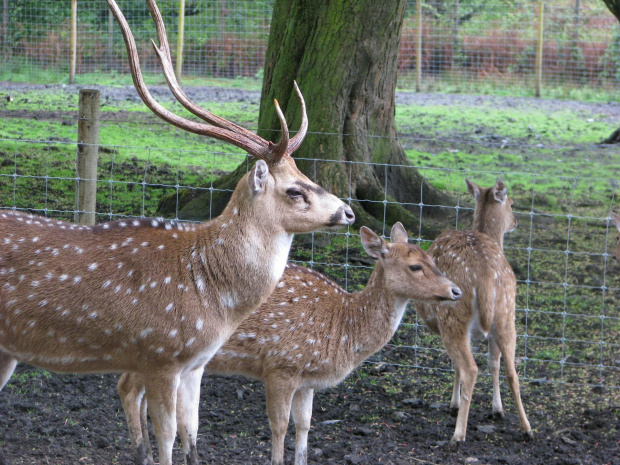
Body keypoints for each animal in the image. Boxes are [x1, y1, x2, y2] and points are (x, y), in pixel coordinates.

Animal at [0, 0, 354, 464]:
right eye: (295, 190)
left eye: (308, 175)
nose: (348, 212)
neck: (213, 296)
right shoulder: (158, 354)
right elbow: (167, 436)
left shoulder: (195, 365)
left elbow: (193, 432)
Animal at [118, 223, 462, 462]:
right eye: (415, 266)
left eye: (433, 258)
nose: (456, 290)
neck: (342, 329)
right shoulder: (281, 366)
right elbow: (279, 426)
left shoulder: (307, 381)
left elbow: (305, 426)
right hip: (160, 344)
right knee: (127, 388)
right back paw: (143, 456)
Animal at [414, 179, 532, 446]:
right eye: (512, 204)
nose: (516, 221)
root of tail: (485, 276)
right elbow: (494, 362)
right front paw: (497, 409)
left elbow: (457, 365)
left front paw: (454, 404)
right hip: (507, 314)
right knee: (512, 370)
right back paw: (527, 429)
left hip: (453, 316)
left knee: (469, 368)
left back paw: (458, 434)